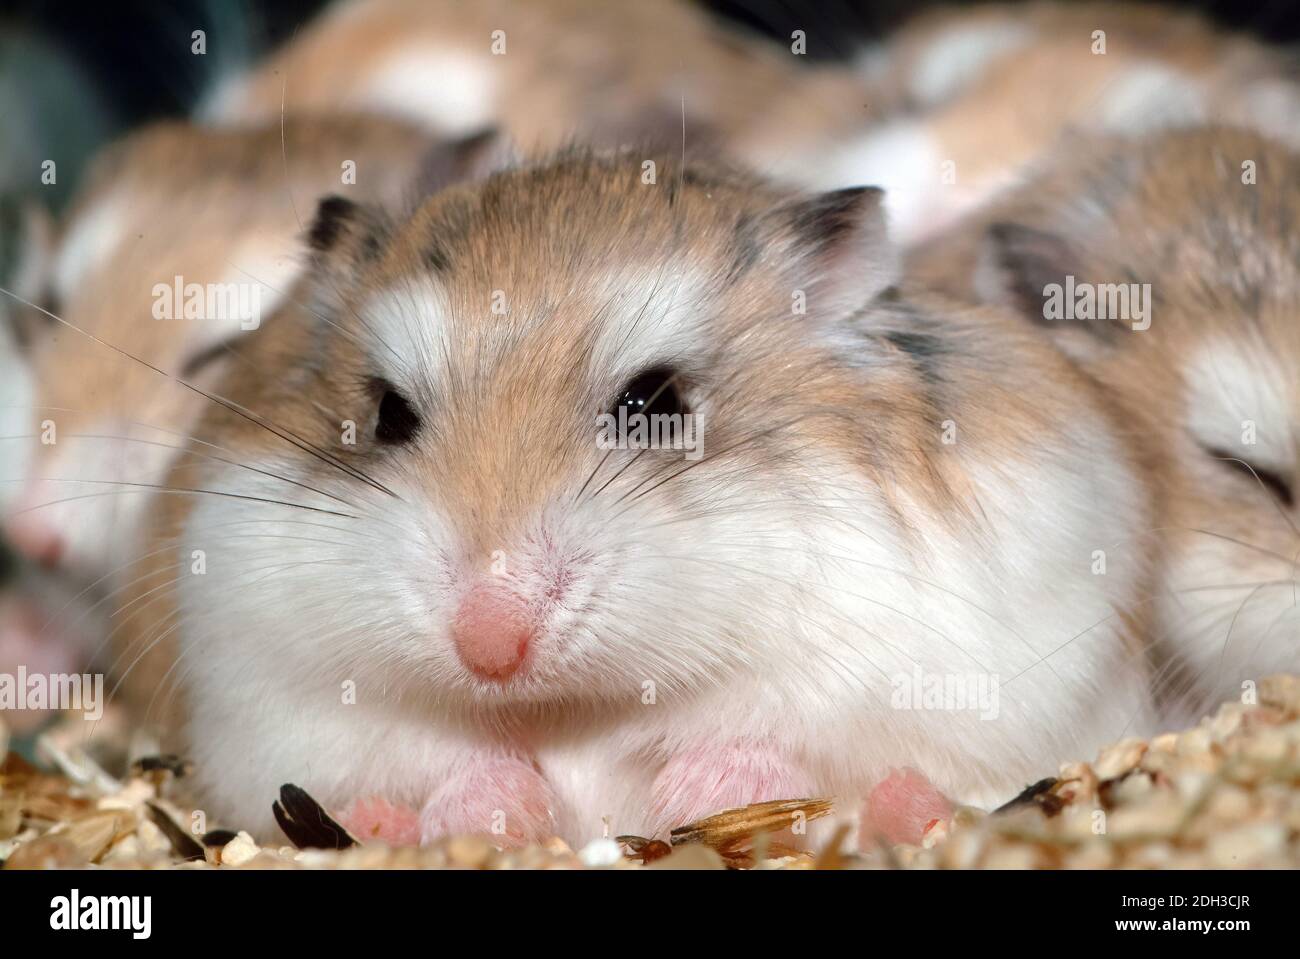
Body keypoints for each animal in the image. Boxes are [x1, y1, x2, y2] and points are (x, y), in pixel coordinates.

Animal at [126, 147, 1154, 842]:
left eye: (657, 405)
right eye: (387, 414)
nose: (488, 646)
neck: (579, 701)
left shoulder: (917, 658)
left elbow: (781, 736)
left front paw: (689, 794)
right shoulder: (273, 689)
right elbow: (437, 754)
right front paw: (503, 807)